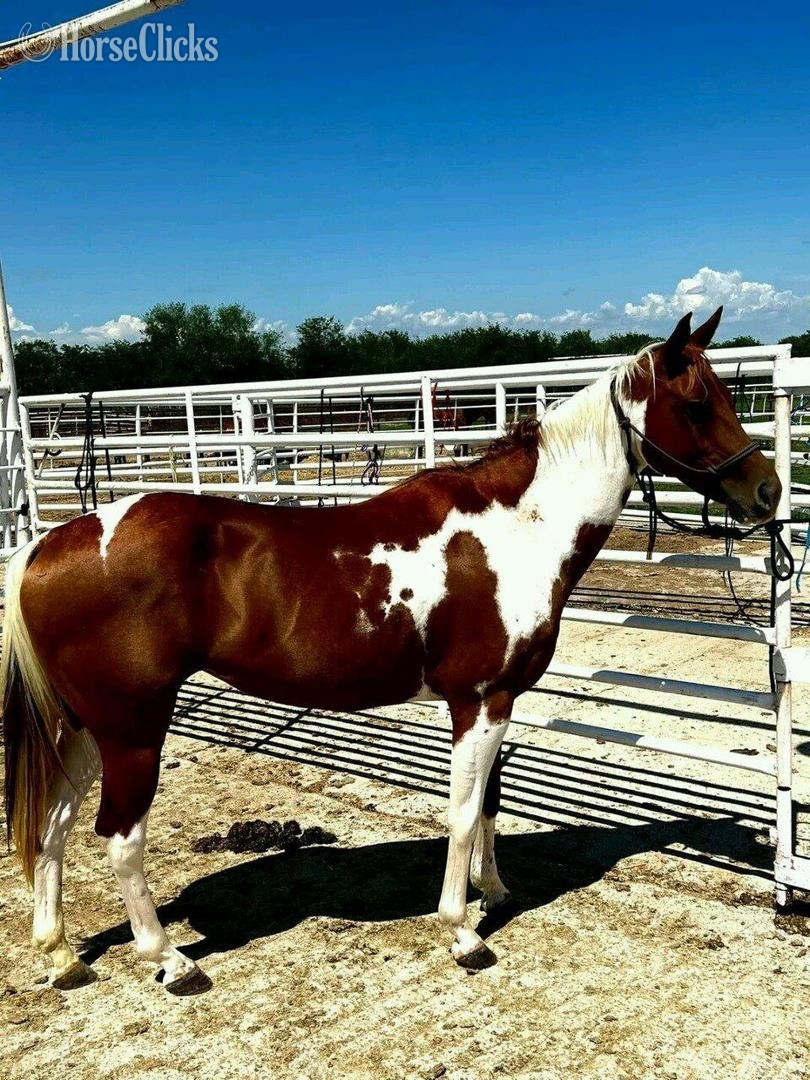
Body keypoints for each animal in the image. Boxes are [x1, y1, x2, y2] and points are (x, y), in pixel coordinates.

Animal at [1, 307, 780, 995]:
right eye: (697, 403)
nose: (768, 491)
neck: (517, 527)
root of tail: (44, 547)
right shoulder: (479, 701)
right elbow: (462, 814)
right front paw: (462, 933)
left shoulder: (496, 702)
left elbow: (491, 802)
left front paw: (495, 892)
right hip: (133, 730)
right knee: (118, 838)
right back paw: (170, 961)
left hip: (86, 729)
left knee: (55, 826)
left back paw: (62, 955)